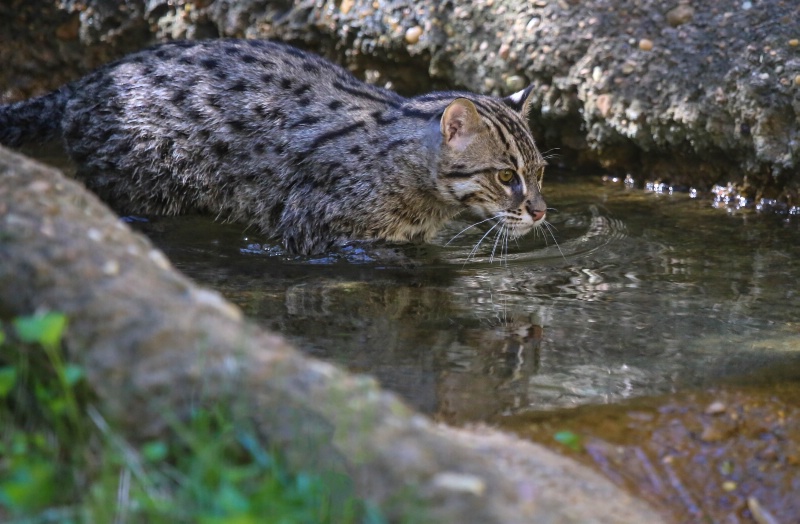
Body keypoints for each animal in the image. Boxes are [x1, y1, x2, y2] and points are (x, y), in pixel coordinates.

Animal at [0, 37, 548, 255]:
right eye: (506, 176)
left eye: (540, 172)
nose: (541, 211)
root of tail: (87, 81)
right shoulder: (317, 230)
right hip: (144, 185)